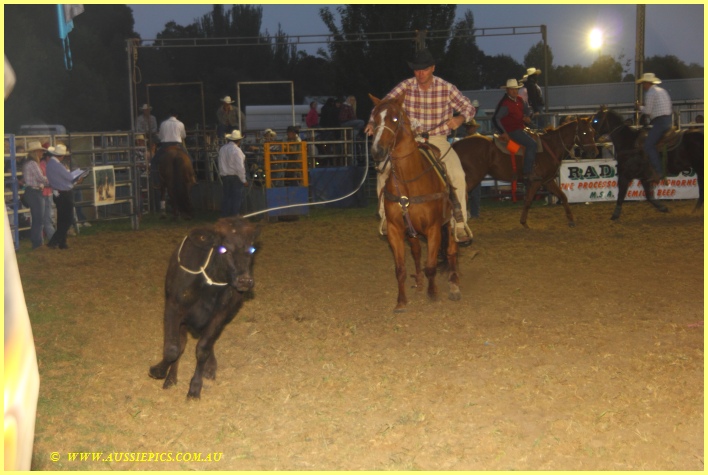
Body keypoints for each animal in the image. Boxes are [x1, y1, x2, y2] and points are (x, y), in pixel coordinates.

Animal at [368, 93, 462, 314]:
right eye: (374, 119)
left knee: (452, 251)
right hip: (412, 232)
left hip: (450, 223)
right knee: (417, 253)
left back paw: (454, 285)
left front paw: (433, 293)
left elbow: (431, 266)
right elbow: (401, 268)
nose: (377, 151)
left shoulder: (434, 228)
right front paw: (401, 302)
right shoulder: (395, 230)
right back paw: (419, 282)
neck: (409, 179)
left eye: (395, 118)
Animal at [454, 120, 596, 230]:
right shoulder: (536, 182)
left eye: (592, 131)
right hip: (472, 177)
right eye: (584, 133)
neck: (549, 148)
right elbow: (528, 201)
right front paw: (524, 223)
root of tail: (456, 145)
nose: (594, 152)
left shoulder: (547, 181)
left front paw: (571, 220)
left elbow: (563, 196)